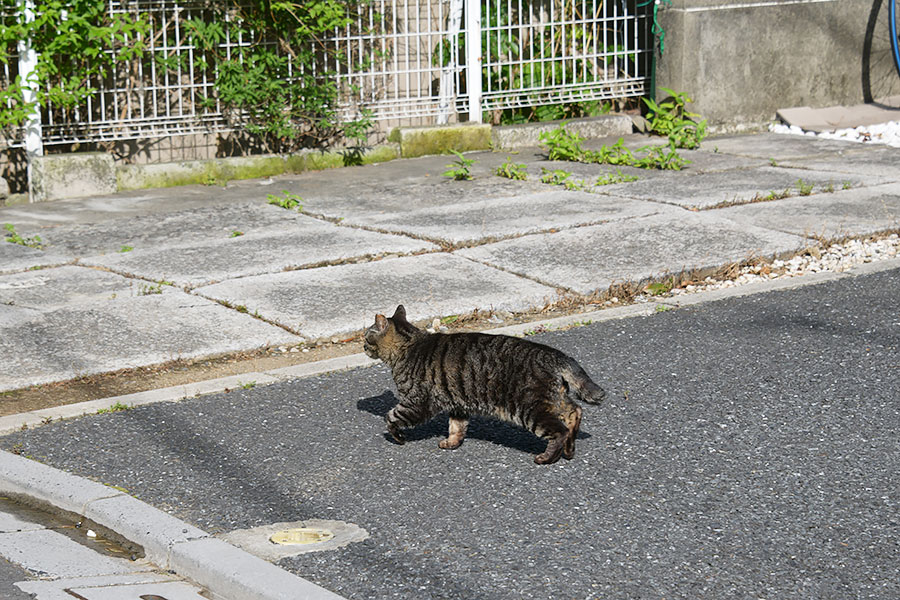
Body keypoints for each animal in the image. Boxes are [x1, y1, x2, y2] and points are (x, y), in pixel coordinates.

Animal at [364, 304, 604, 464]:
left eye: (366, 336)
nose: (363, 346)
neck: (409, 345)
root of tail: (554, 355)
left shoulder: (415, 403)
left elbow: (390, 417)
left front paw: (398, 437)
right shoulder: (457, 405)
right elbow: (456, 428)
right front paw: (451, 443)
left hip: (531, 409)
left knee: (559, 430)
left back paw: (547, 457)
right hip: (554, 400)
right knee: (575, 411)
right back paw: (570, 450)